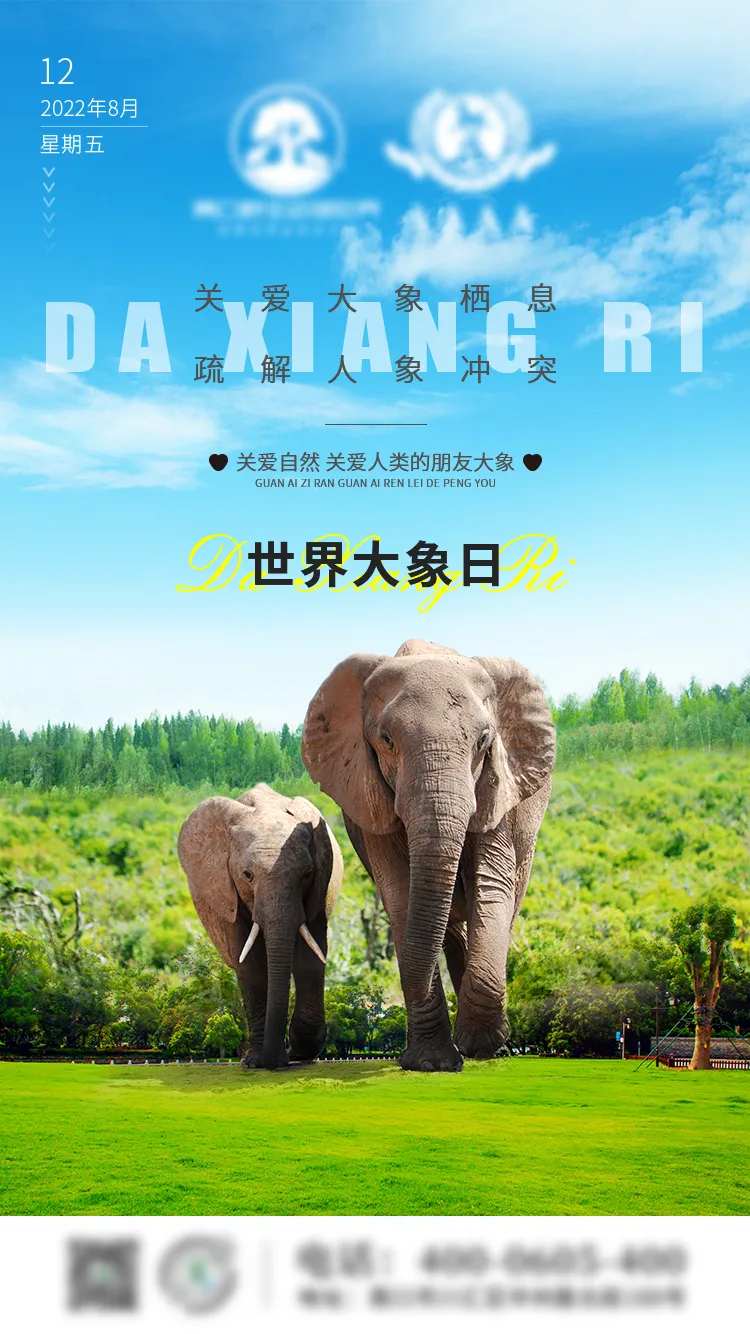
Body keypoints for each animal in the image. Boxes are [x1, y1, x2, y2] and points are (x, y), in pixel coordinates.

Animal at [177, 783, 342, 1069]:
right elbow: (250, 964)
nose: (278, 1060)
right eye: (247, 875)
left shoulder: (320, 886)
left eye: (307, 874)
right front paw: (255, 1062)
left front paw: (300, 1053)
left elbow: (310, 957)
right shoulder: (227, 893)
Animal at [302, 639, 555, 1073]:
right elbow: (401, 895)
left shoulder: (497, 788)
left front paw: (480, 1046)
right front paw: (432, 1064)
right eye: (386, 740)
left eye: (484, 740)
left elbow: (492, 885)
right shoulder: (371, 802)